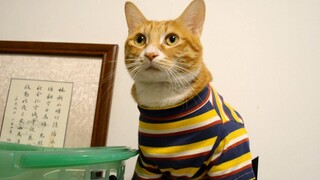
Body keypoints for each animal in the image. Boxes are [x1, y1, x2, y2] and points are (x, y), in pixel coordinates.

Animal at [125, 0, 255, 179]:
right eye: (140, 39)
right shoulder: (146, 165)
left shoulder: (230, 153)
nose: (150, 54)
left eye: (172, 39)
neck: (163, 101)